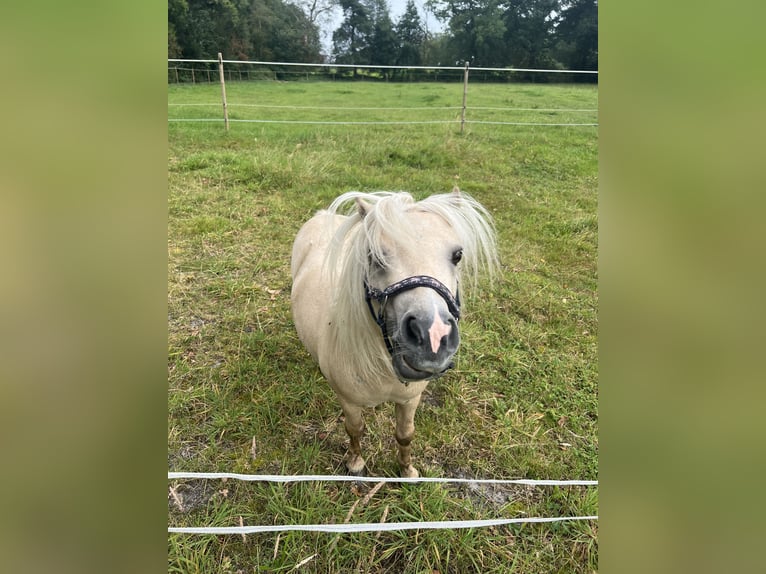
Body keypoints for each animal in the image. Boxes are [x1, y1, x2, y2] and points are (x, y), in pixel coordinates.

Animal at [290, 188, 498, 476]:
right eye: (374, 257)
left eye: (457, 255)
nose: (432, 337)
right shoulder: (349, 402)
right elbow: (354, 429)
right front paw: (356, 463)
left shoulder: (410, 399)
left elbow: (405, 435)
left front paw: (407, 471)